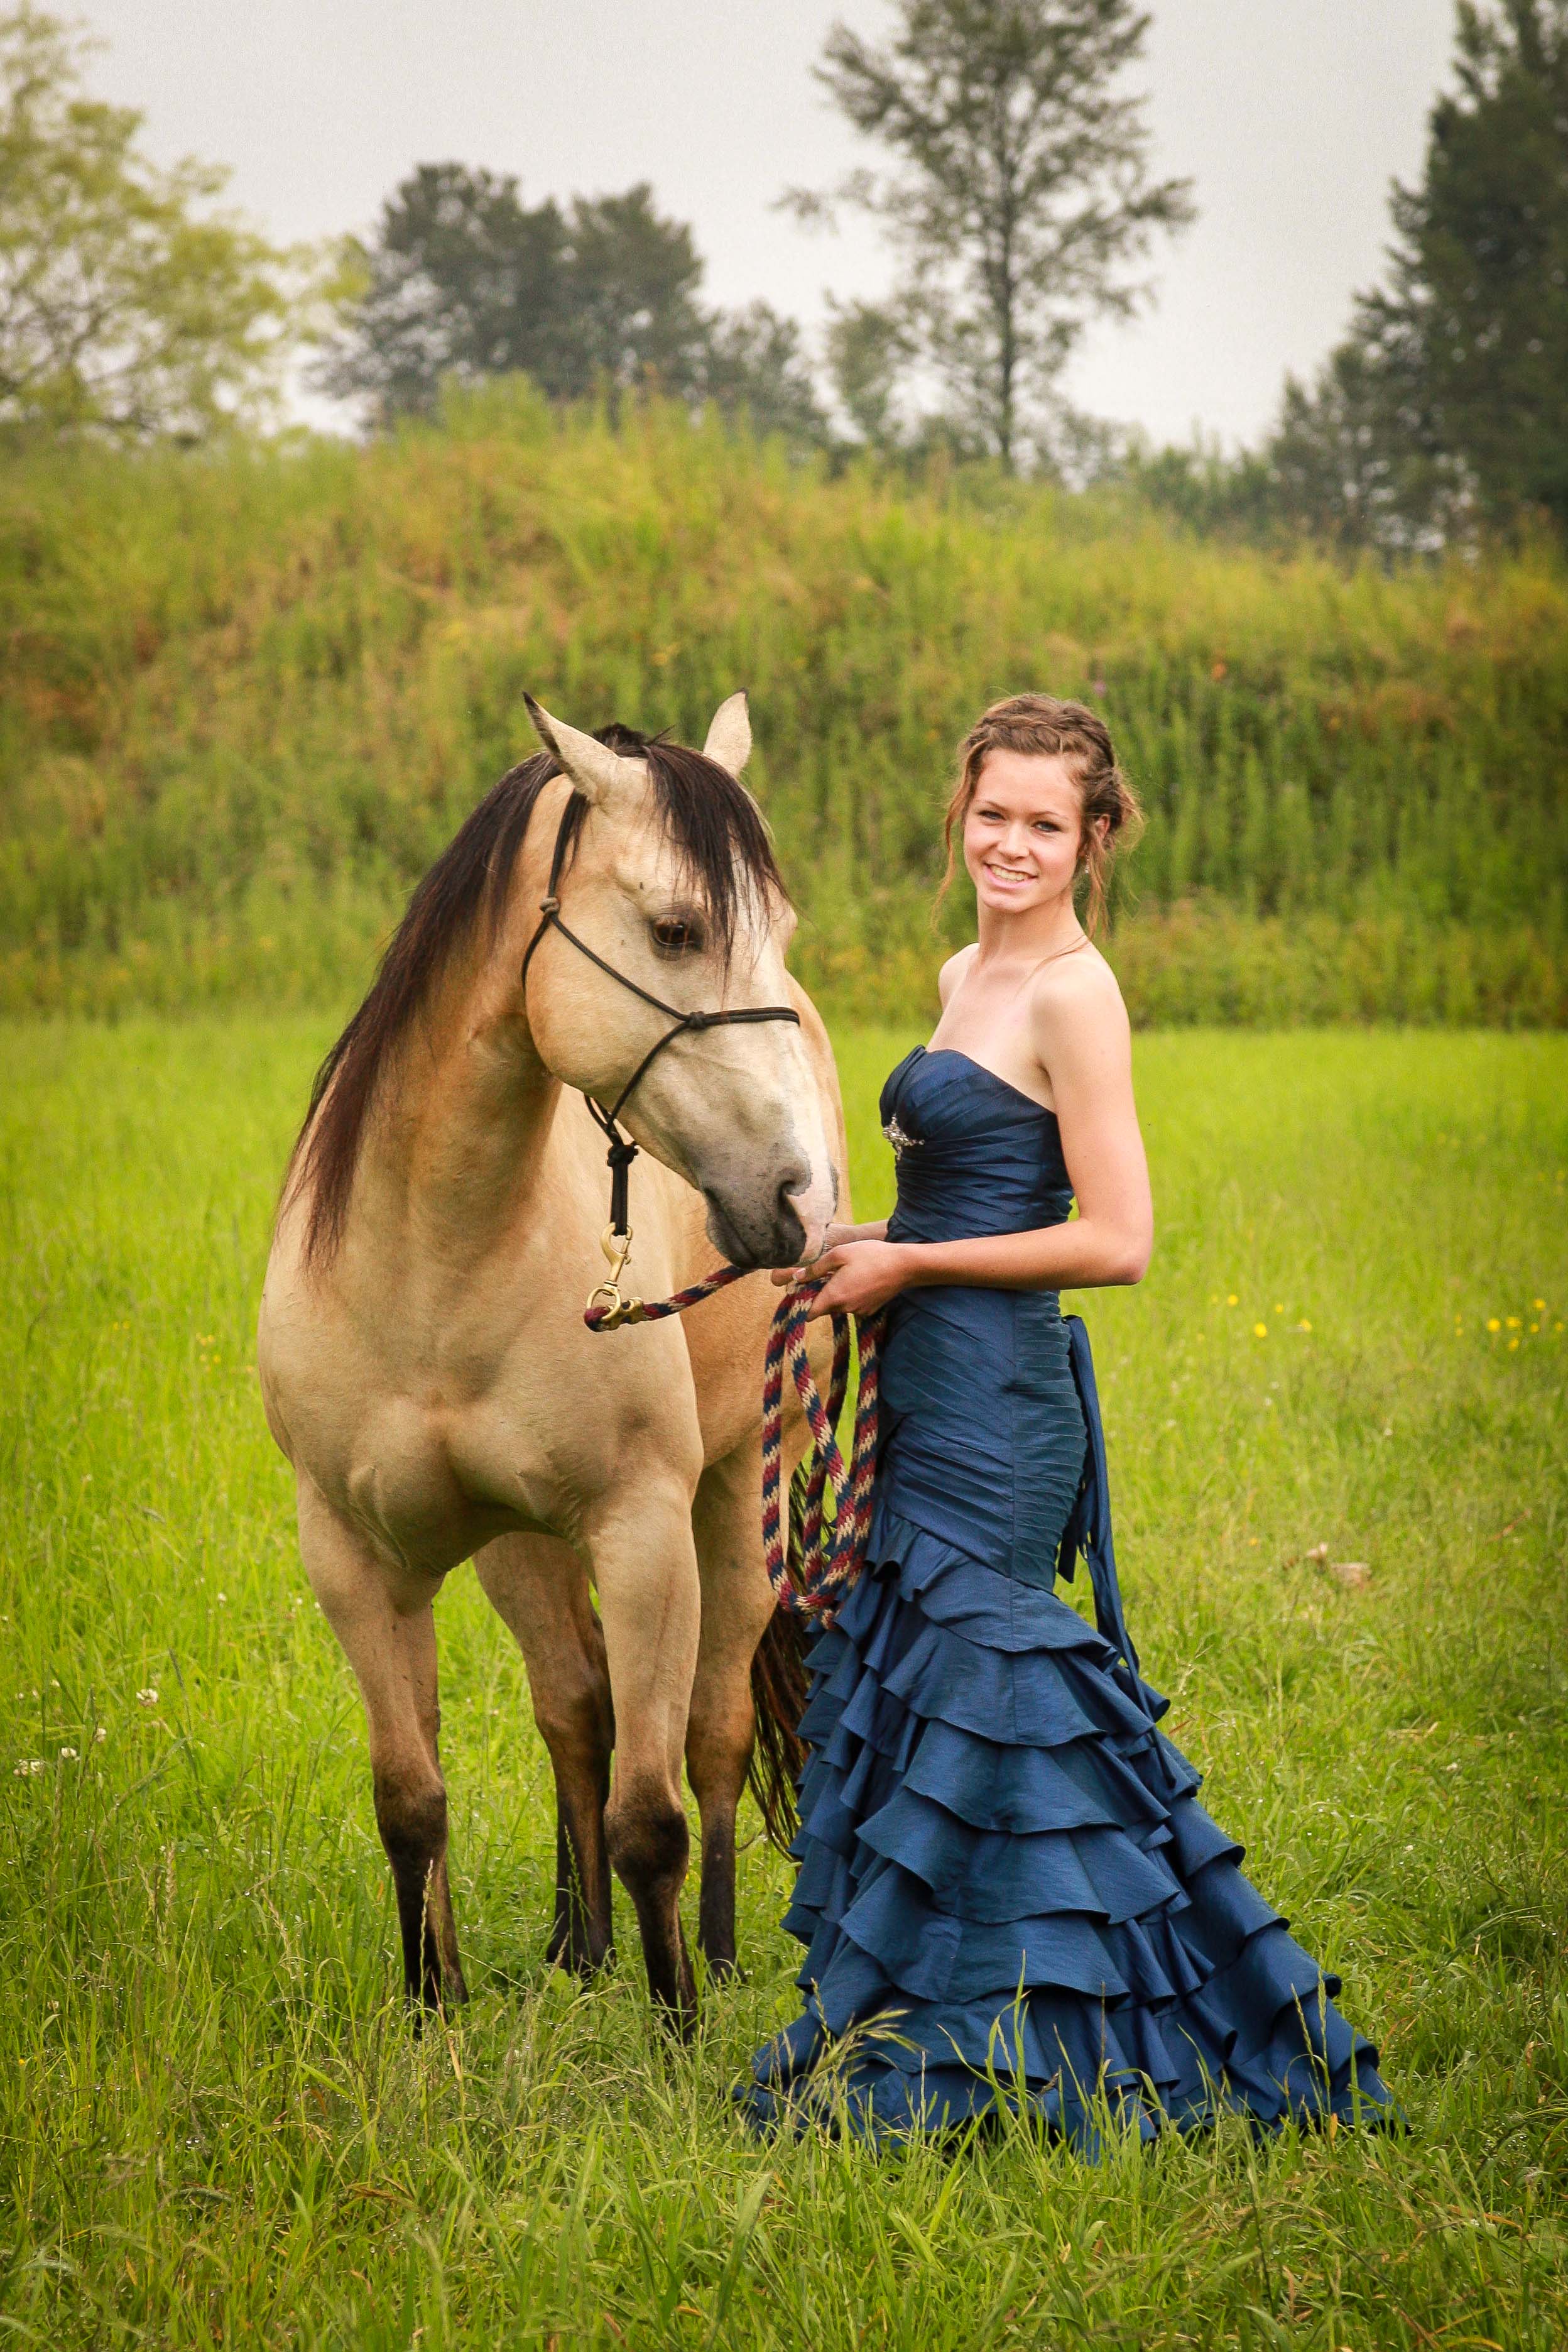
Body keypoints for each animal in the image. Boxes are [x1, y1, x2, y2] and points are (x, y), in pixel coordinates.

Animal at [257, 686, 846, 2032]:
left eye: (779, 928)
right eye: (677, 929)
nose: (801, 1196)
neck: (436, 1261)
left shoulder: (641, 1535)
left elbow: (652, 1820)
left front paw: (677, 2035)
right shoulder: (356, 1561)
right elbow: (412, 1801)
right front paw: (434, 2009)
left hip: (732, 1502)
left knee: (710, 1733)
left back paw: (713, 1955)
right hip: (517, 1544)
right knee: (573, 1706)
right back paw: (579, 1948)